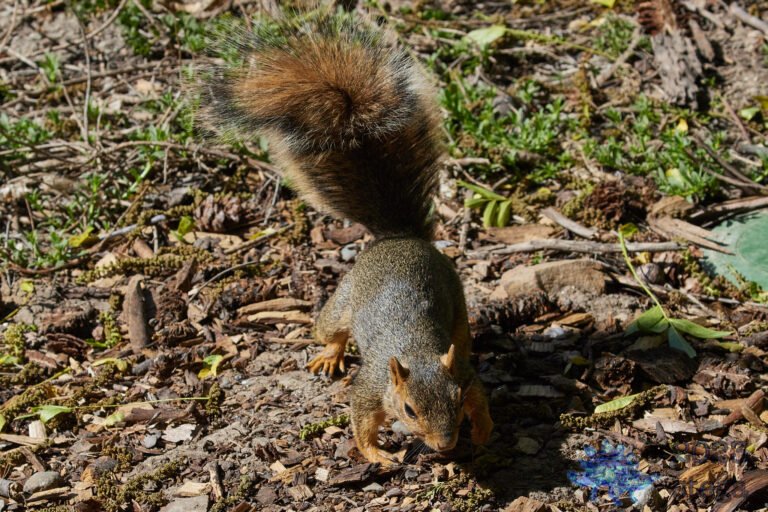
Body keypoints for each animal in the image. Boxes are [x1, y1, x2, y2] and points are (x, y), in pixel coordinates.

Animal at [197, 9, 493, 466]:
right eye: (409, 409)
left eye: (456, 399)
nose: (445, 444)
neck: (417, 352)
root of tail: (396, 238)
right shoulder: (370, 388)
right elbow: (361, 420)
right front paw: (377, 455)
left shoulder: (464, 375)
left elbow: (481, 395)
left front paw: (483, 431)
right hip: (342, 303)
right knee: (329, 330)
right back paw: (329, 355)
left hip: (458, 305)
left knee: (461, 336)